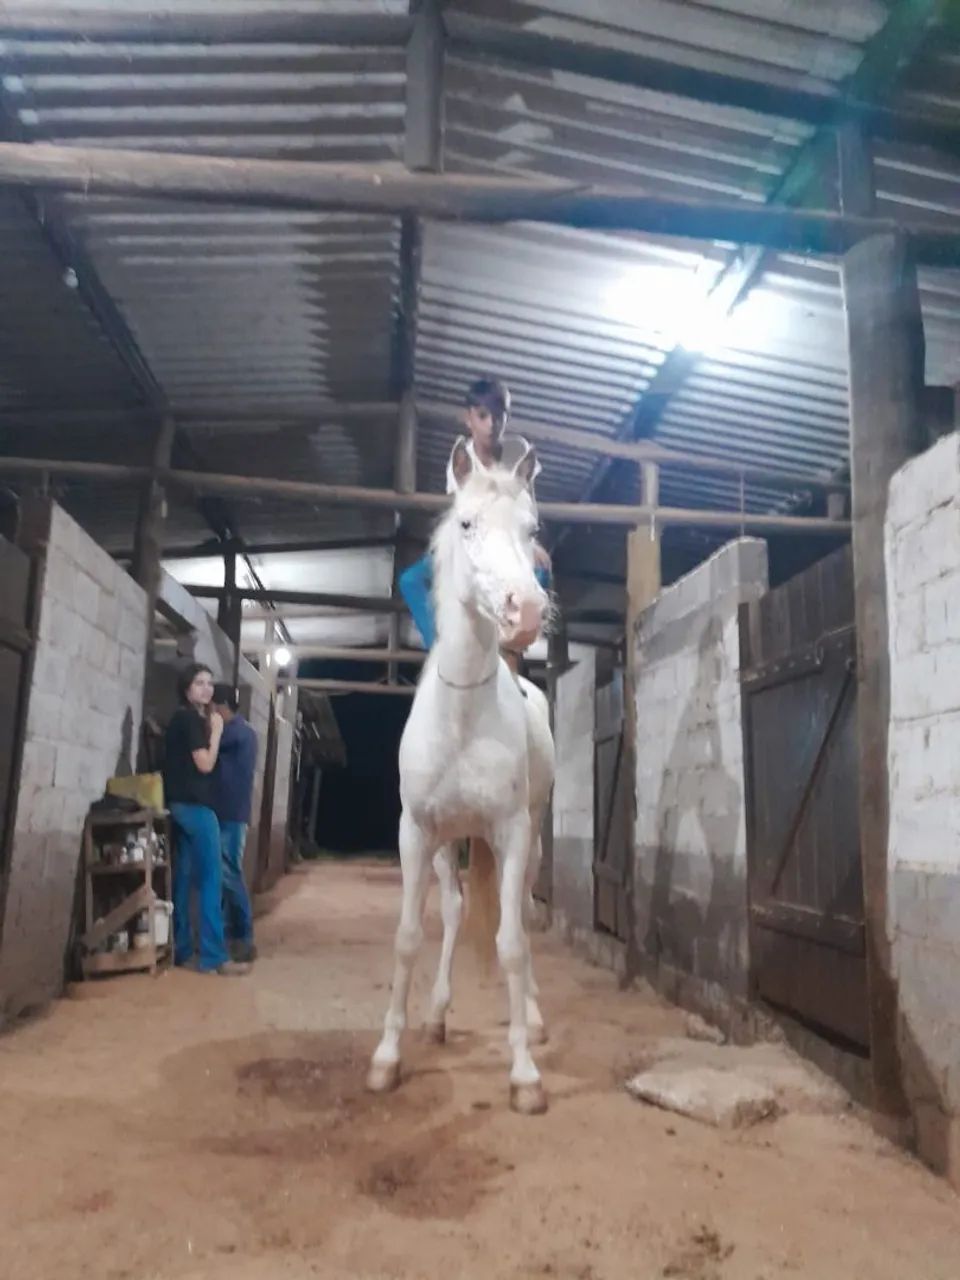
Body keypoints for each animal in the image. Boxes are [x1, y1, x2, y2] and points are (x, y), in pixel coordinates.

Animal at [367, 436, 556, 1114]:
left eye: (532, 529)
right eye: (467, 524)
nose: (526, 612)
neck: (463, 718)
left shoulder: (511, 832)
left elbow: (512, 943)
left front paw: (524, 1074)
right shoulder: (416, 832)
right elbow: (406, 937)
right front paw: (387, 1057)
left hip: (526, 837)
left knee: (519, 915)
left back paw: (533, 1015)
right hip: (450, 842)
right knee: (449, 914)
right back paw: (438, 1016)